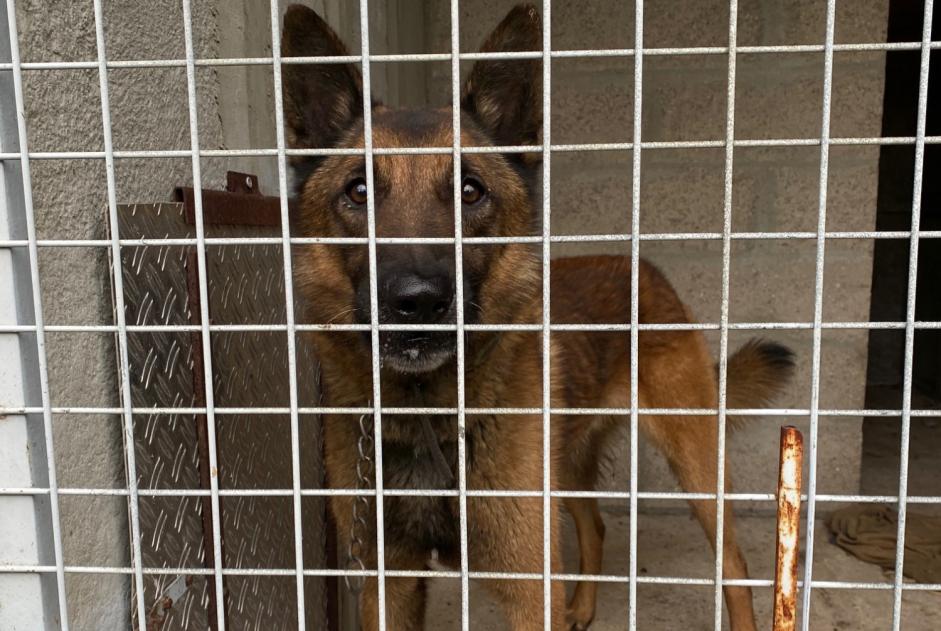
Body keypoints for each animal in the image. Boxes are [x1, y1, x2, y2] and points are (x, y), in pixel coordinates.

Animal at [280, 4, 792, 631]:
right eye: (358, 192)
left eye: (470, 191)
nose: (417, 301)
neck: (426, 410)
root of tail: (640, 266)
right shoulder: (388, 581)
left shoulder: (527, 582)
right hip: (567, 464)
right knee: (595, 526)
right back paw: (582, 607)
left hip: (695, 464)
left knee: (734, 566)